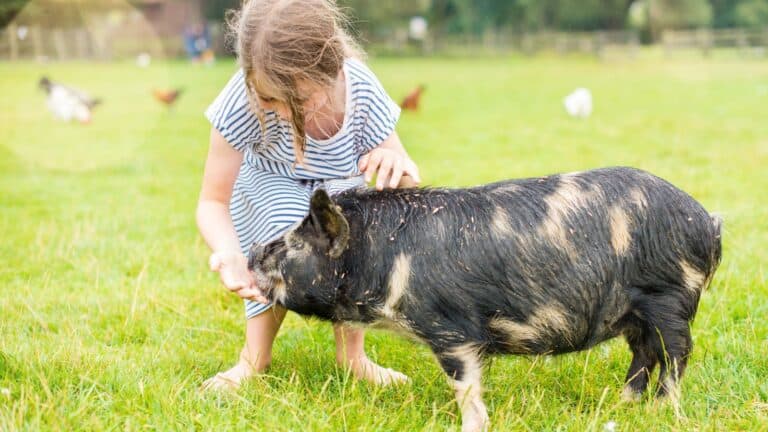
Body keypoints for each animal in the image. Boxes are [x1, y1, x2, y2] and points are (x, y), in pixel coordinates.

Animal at [249, 166, 724, 432]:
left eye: (292, 244)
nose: (252, 253)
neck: (381, 259)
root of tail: (707, 221)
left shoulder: (451, 328)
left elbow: (465, 385)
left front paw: (470, 426)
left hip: (669, 297)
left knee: (676, 354)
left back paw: (663, 411)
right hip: (635, 312)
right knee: (644, 353)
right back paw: (623, 405)